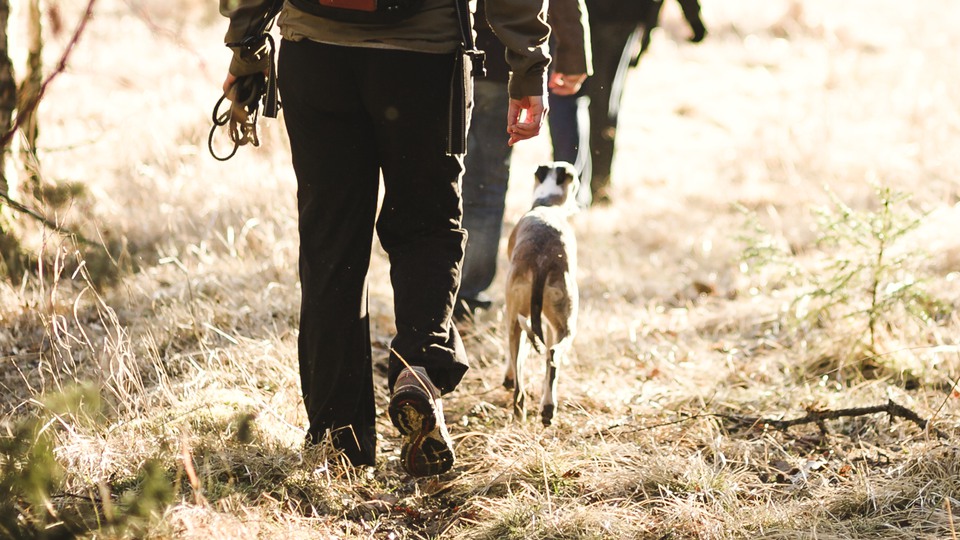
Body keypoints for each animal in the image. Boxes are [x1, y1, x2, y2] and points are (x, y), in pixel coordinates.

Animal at [502, 160, 576, 426]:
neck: (547, 205)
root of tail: (542, 261)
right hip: (563, 321)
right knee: (551, 355)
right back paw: (546, 408)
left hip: (516, 319)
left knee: (521, 380)